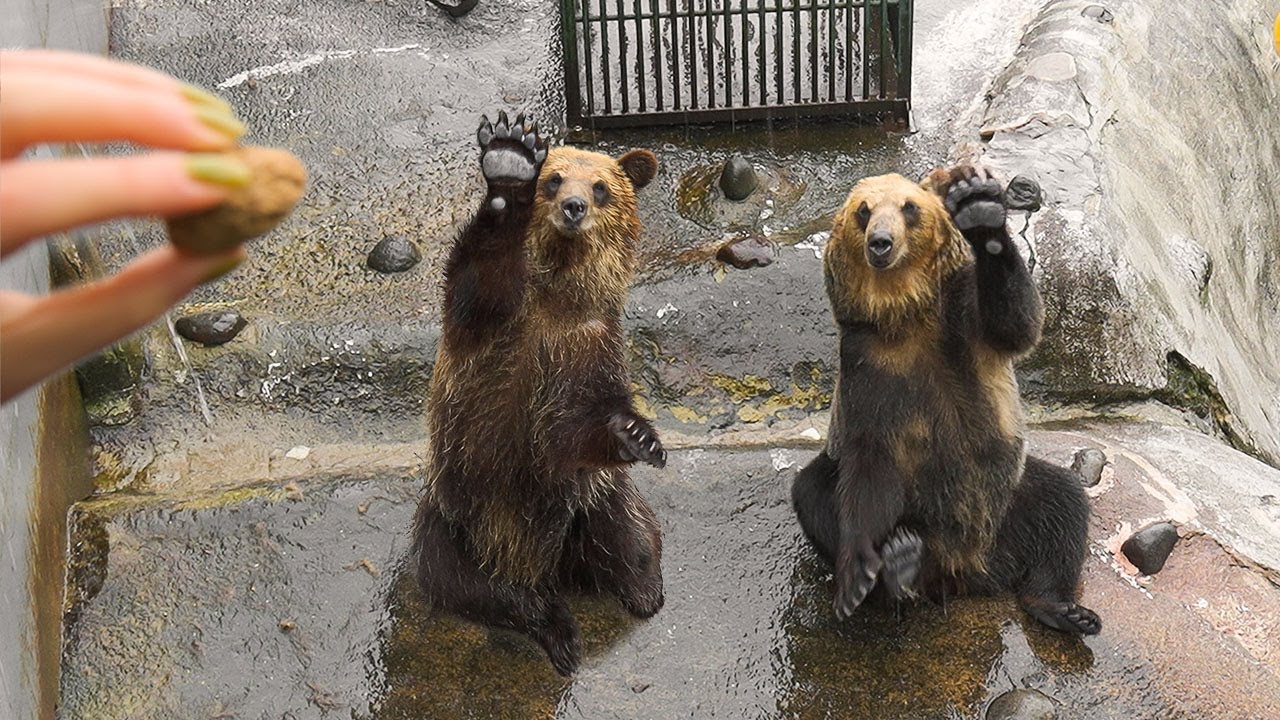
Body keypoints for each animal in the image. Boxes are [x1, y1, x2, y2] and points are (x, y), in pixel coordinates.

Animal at [412, 112, 666, 676]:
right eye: (553, 179)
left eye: (600, 187)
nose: (573, 206)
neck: (556, 297)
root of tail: (543, 564)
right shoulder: (489, 328)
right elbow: (479, 273)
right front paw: (511, 159)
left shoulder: (589, 348)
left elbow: (576, 426)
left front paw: (639, 434)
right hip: (455, 523)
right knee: (485, 589)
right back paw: (558, 631)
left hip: (590, 502)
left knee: (633, 536)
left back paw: (644, 591)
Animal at [791, 165, 1101, 636]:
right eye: (864, 211)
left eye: (909, 207)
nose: (881, 242)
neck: (905, 313)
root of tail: (969, 568)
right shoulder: (867, 362)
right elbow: (868, 465)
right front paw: (858, 575)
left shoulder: (961, 321)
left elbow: (1017, 324)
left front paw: (980, 212)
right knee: (812, 491)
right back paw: (900, 562)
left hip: (1009, 501)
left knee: (1061, 504)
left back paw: (1062, 608)